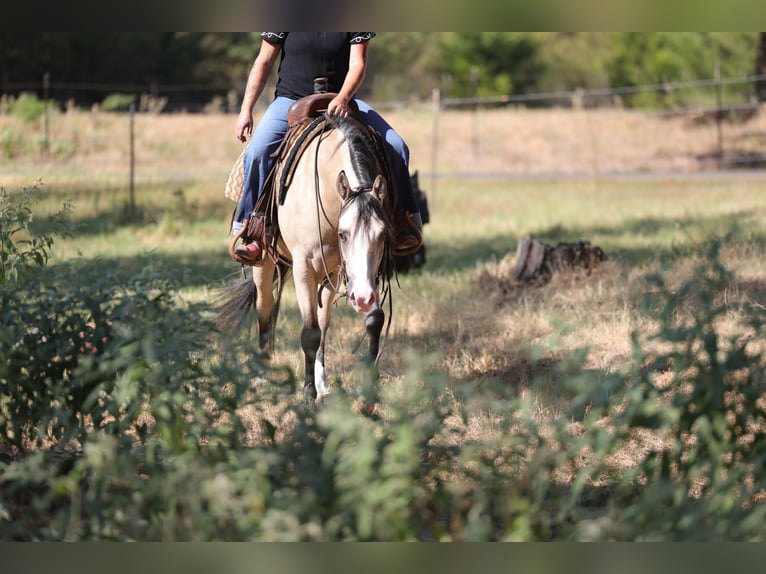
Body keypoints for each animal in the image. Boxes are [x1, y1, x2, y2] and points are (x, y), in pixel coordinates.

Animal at [216, 112, 395, 401]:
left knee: (323, 321)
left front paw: (366, 395)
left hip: (329, 274)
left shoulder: (353, 272)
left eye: (382, 235)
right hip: (263, 264)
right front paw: (307, 393)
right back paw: (262, 375)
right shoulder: (304, 267)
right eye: (344, 234)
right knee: (265, 311)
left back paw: (322, 384)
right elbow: (309, 332)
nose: (362, 299)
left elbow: (372, 320)